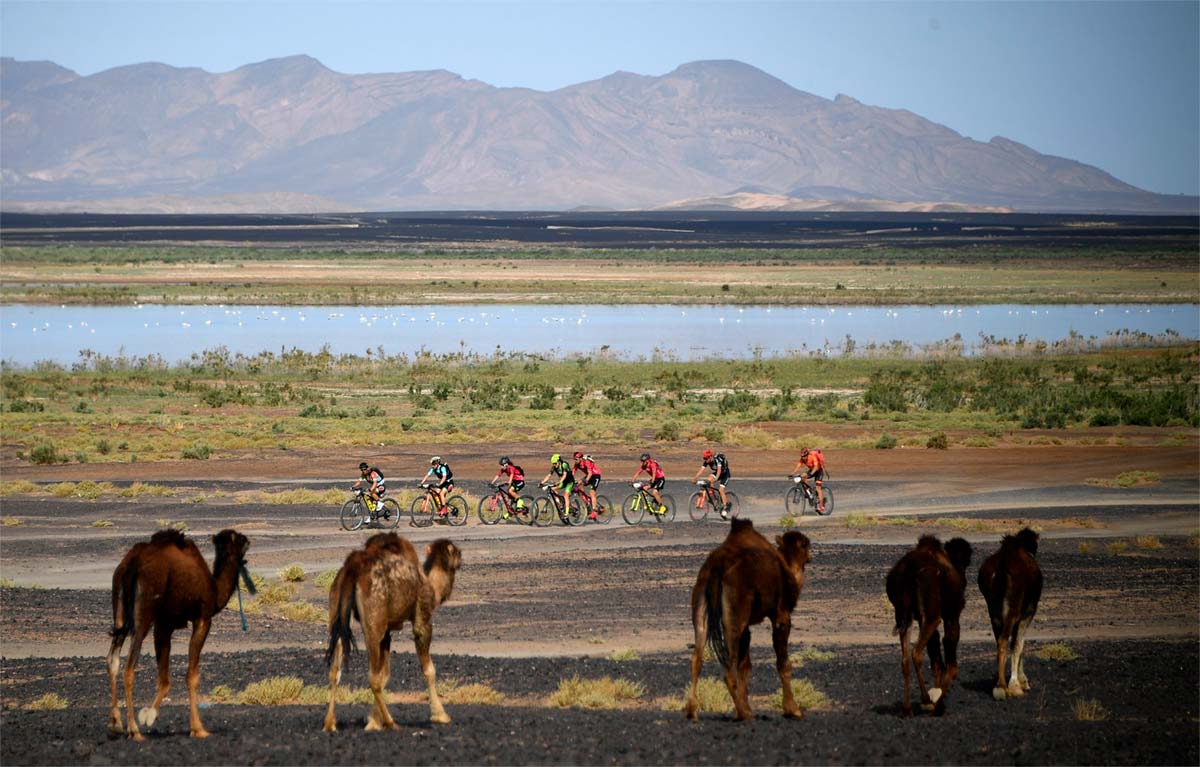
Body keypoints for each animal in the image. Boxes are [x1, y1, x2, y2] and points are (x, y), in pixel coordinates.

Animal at [106, 528, 255, 739]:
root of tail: (131, 564)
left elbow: (164, 679)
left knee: (113, 659)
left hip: (118, 606)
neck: (214, 589)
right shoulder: (202, 619)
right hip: (144, 610)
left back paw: (116, 724)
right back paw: (134, 730)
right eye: (240, 538)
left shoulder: (164, 625)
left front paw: (150, 714)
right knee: (130, 666)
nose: (249, 540)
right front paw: (198, 728)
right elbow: (192, 676)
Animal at [321, 532, 460, 729]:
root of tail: (352, 568)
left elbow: (384, 674)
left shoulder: (387, 631)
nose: (461, 556)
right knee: (371, 676)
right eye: (455, 551)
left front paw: (373, 720)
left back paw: (330, 723)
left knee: (335, 670)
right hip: (374, 615)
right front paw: (440, 715)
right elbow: (428, 669)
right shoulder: (422, 616)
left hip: (337, 609)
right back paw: (391, 722)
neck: (431, 584)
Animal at [691, 518, 811, 724]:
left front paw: (748, 706)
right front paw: (792, 710)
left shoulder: (746, 625)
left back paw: (692, 711)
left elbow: (745, 666)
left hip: (700, 601)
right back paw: (742, 713)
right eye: (805, 544)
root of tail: (716, 567)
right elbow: (783, 663)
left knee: (697, 655)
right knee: (728, 666)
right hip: (734, 611)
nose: (811, 551)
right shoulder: (781, 615)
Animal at [883, 532, 974, 720]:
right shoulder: (952, 615)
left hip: (903, 615)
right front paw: (939, 705)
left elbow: (937, 661)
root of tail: (908, 571)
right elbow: (951, 665)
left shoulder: (918, 618)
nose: (964, 579)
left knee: (905, 658)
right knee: (916, 653)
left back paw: (907, 709)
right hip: (933, 614)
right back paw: (926, 699)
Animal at [979, 528, 1046, 700]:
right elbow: (1019, 643)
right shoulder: (1027, 612)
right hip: (1014, 611)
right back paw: (1005, 687)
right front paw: (1020, 683)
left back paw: (999, 685)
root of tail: (1001, 569)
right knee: (1007, 640)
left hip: (993, 611)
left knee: (1000, 641)